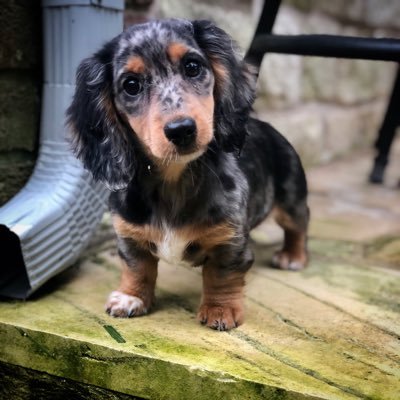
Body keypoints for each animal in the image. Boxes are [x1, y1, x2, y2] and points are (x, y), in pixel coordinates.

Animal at [66, 18, 310, 332]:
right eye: (131, 85)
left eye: (192, 67)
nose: (181, 129)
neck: (174, 180)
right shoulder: (129, 236)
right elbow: (137, 268)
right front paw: (131, 297)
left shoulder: (229, 241)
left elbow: (221, 275)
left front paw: (220, 310)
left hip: (291, 199)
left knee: (298, 226)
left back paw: (293, 256)